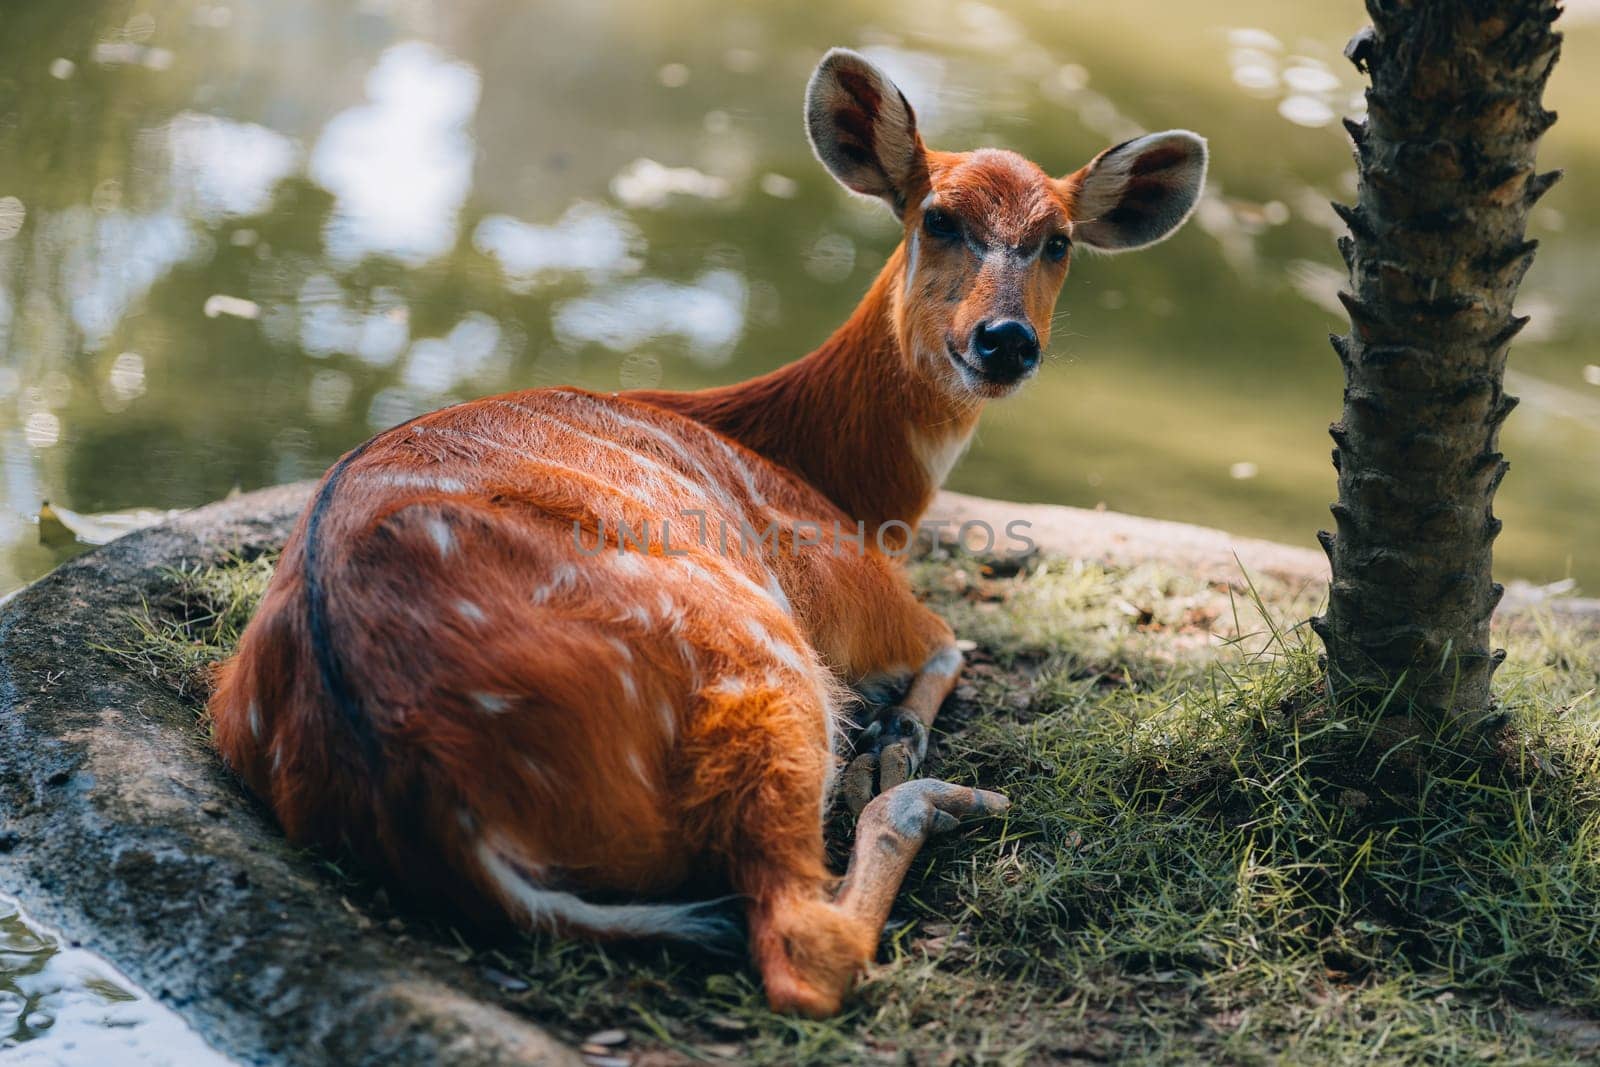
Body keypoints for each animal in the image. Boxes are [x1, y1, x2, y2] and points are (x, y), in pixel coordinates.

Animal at [209, 49, 1203, 1017]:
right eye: (938, 217)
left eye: (1059, 239)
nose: (1004, 340)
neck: (843, 486)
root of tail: (437, 806)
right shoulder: (848, 584)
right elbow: (951, 640)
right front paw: (894, 740)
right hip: (763, 663)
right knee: (800, 942)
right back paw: (924, 791)